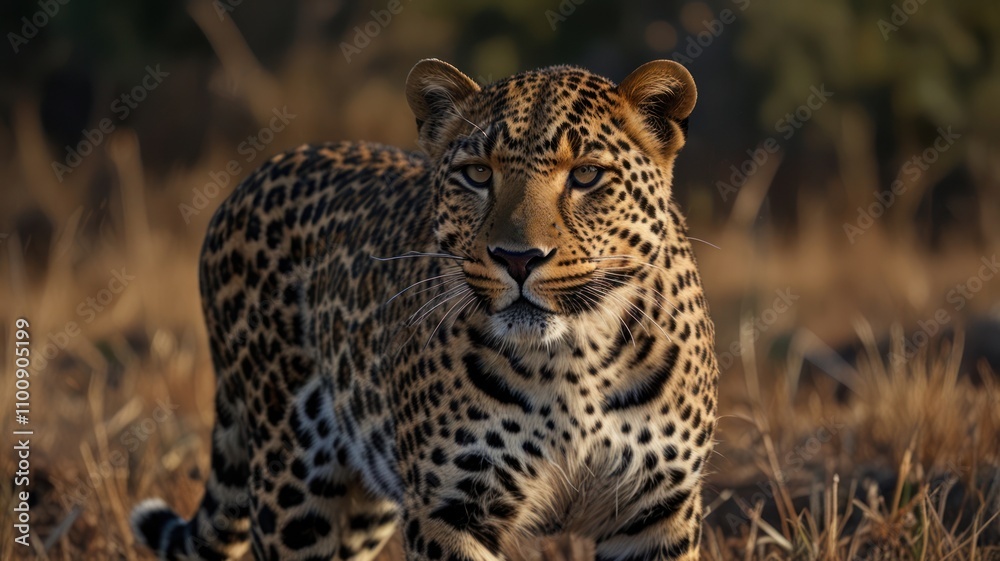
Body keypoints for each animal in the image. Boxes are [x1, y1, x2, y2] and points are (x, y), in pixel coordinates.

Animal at [131, 58, 718, 561]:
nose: (518, 258)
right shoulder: (449, 509)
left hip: (364, 498)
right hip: (290, 476)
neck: (576, 357)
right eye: (478, 174)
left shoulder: (658, 513)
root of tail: (253, 178)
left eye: (587, 175)